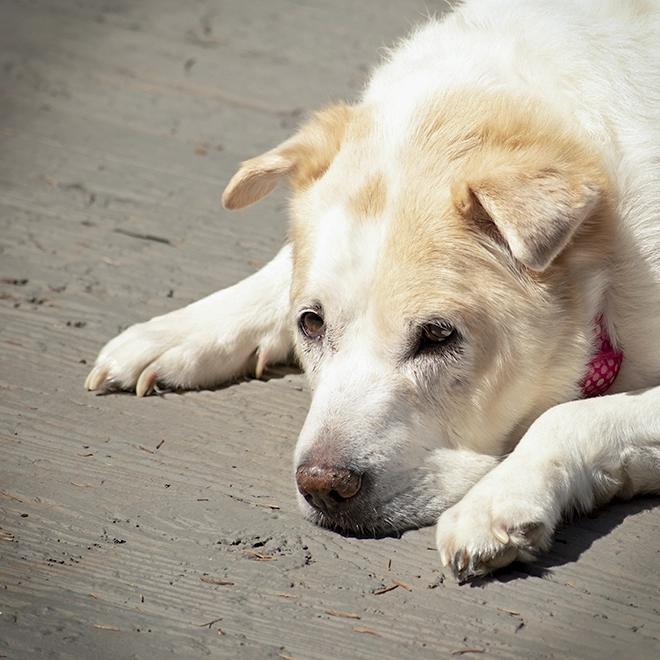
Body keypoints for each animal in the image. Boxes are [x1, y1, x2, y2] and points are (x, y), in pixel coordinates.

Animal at [85, 0, 660, 576]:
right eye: (310, 324)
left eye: (438, 336)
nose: (323, 487)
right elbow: (280, 269)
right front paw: (179, 331)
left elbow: (569, 416)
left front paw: (500, 500)